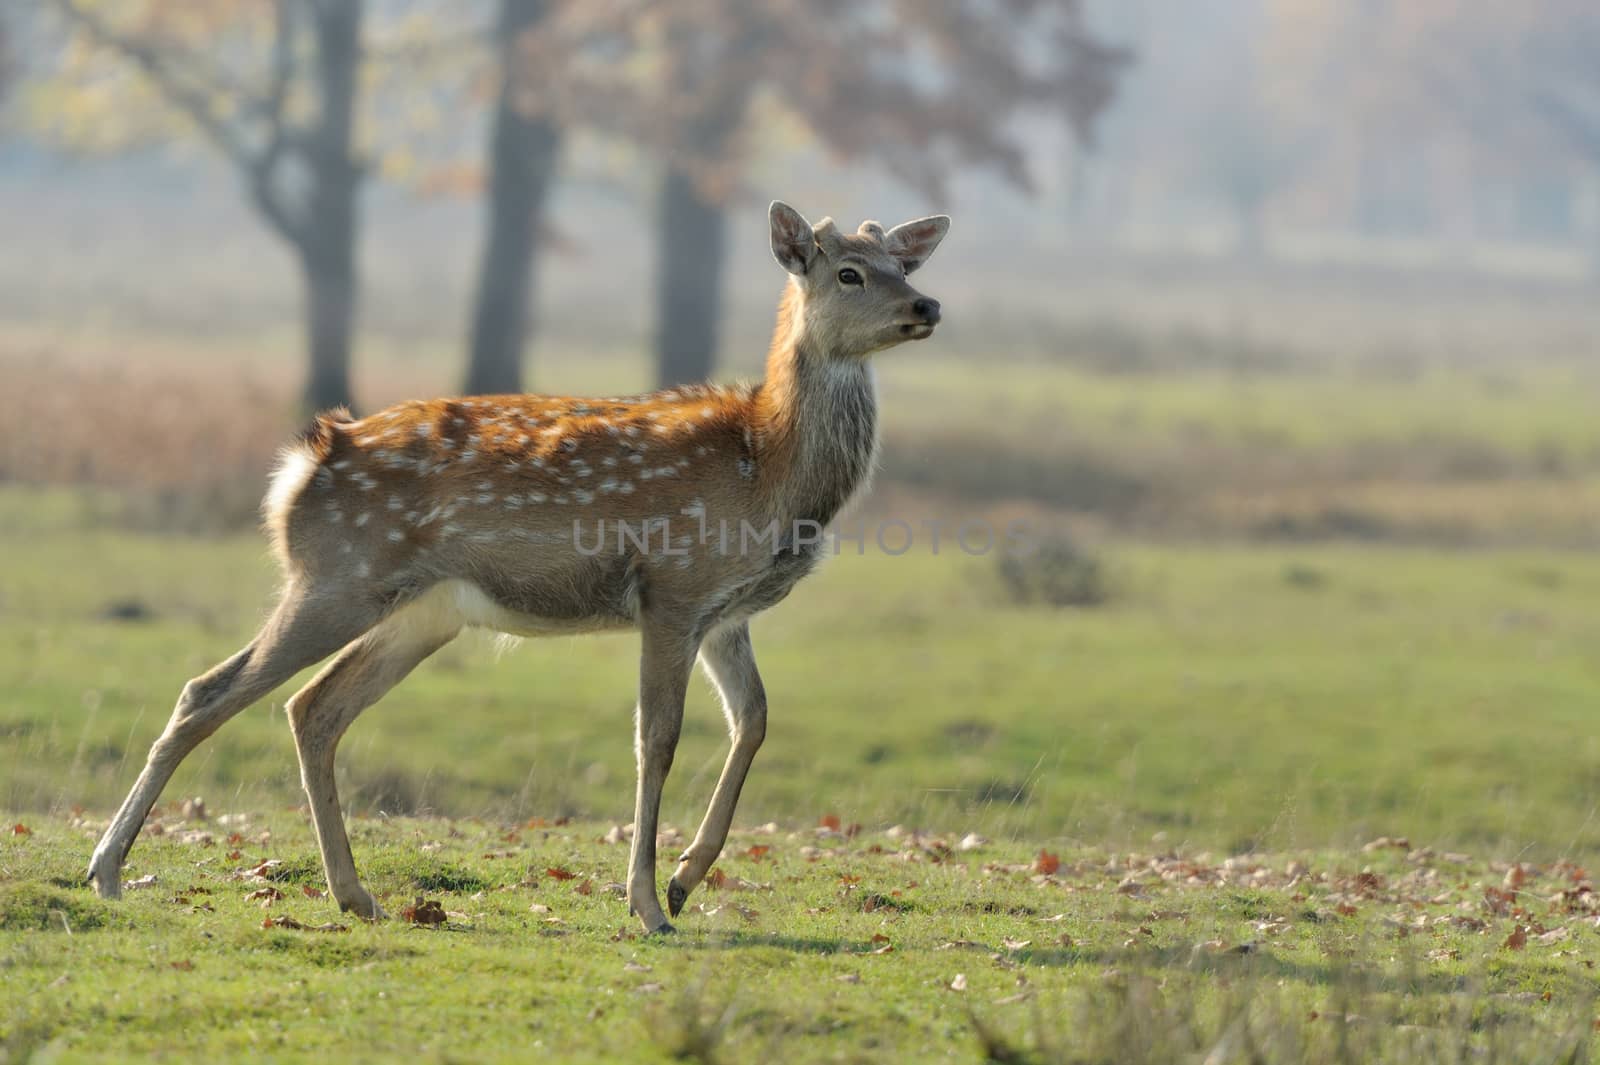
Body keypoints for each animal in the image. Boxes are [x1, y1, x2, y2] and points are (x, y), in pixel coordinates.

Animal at [84, 199, 947, 927]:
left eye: (904, 264)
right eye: (849, 271)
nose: (926, 308)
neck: (766, 469)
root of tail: (302, 466)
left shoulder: (725, 612)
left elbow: (755, 720)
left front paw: (685, 877)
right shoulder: (671, 587)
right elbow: (657, 739)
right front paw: (647, 902)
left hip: (422, 611)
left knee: (314, 707)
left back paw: (355, 894)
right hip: (337, 577)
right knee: (210, 689)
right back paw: (108, 869)